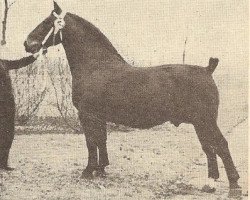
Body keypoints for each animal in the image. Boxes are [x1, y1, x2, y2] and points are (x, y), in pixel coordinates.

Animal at [23, 2, 240, 191]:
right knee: (209, 148)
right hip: (200, 123)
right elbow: (101, 140)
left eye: (47, 22)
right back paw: (211, 183)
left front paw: (88, 171)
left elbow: (91, 142)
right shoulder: (99, 117)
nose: (27, 44)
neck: (96, 65)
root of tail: (207, 69)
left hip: (205, 121)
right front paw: (101, 170)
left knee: (220, 145)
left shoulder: (87, 115)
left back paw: (233, 183)